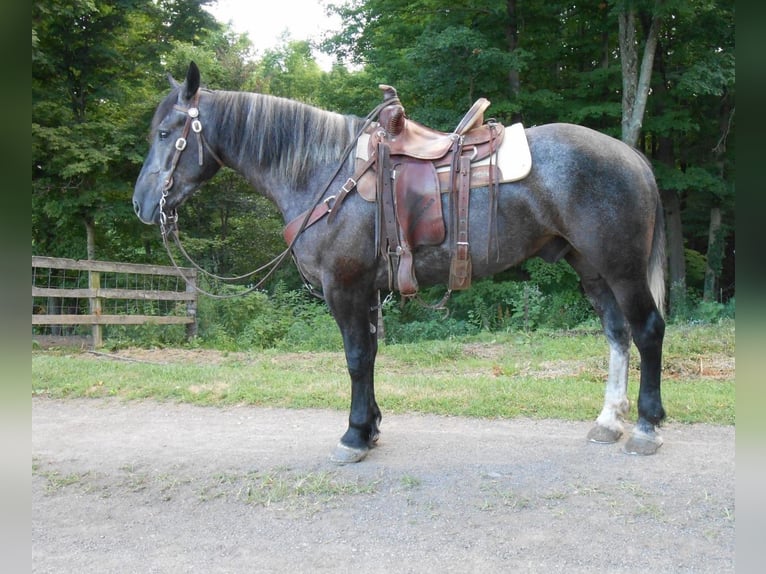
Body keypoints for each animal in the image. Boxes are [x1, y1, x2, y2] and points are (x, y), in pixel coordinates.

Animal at [133, 61, 667, 464]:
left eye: (164, 132)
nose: (141, 204)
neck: (322, 174)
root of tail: (633, 156)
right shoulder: (367, 290)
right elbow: (369, 355)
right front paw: (370, 429)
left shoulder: (344, 287)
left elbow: (354, 358)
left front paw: (353, 436)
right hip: (591, 268)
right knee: (617, 333)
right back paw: (608, 422)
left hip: (620, 267)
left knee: (647, 330)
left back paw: (646, 427)